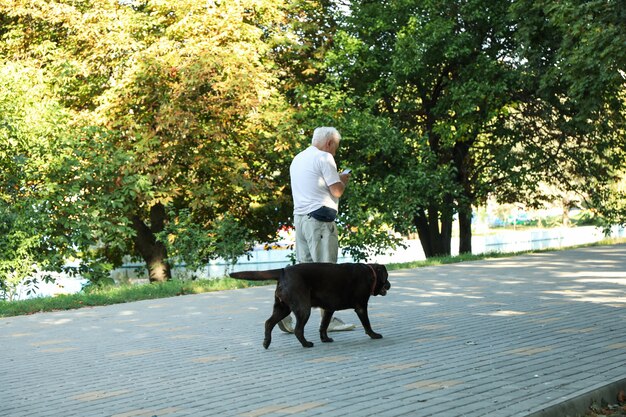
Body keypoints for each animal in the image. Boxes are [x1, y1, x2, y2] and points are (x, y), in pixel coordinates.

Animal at [229, 264, 388, 348]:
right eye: (386, 278)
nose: (390, 285)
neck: (371, 274)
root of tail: (283, 271)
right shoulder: (361, 307)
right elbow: (367, 324)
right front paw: (374, 335)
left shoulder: (328, 309)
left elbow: (323, 325)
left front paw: (325, 339)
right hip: (303, 308)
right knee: (298, 329)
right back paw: (306, 344)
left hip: (283, 308)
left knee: (268, 323)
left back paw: (266, 342)